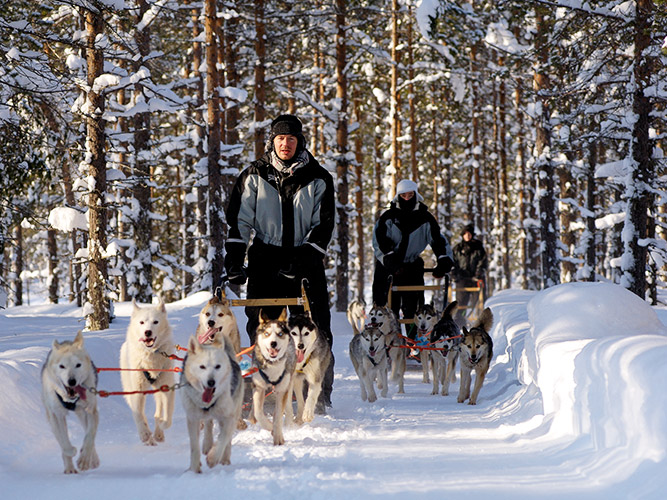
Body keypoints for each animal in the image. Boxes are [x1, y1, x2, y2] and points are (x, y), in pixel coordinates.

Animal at [41, 332, 99, 472]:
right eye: (62, 366)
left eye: (78, 365)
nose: (72, 381)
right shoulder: (56, 415)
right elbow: (63, 441)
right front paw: (71, 451)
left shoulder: (91, 410)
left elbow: (89, 436)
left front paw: (84, 459)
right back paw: (70, 468)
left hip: (83, 414)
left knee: (89, 435)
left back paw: (92, 459)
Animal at [120, 298, 176, 444]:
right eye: (142, 322)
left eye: (155, 322)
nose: (147, 332)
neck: (151, 355)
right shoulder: (137, 389)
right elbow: (138, 414)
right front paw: (144, 433)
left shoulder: (167, 387)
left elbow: (167, 416)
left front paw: (162, 425)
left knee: (158, 411)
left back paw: (158, 433)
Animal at [181, 336, 244, 472]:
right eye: (202, 367)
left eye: (217, 366)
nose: (211, 382)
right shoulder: (193, 419)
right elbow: (194, 447)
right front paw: (194, 470)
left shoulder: (229, 418)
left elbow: (223, 438)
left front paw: (213, 458)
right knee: (208, 424)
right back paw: (207, 444)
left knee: (227, 439)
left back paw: (225, 459)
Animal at [250, 308, 294, 446]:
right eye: (267, 333)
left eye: (280, 334)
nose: (273, 343)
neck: (272, 364)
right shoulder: (258, 387)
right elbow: (258, 413)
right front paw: (269, 427)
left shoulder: (282, 390)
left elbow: (278, 416)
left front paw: (278, 436)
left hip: (288, 385)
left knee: (286, 407)